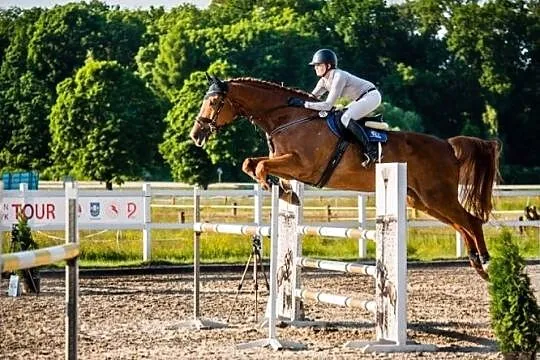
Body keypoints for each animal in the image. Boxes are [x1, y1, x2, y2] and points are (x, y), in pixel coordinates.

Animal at [191, 74, 502, 282]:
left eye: (214, 101)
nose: (197, 134)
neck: (288, 118)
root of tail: (448, 146)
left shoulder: (302, 166)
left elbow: (260, 167)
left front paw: (278, 188)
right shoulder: (288, 164)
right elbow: (251, 163)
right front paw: (284, 191)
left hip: (437, 195)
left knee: (471, 221)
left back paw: (487, 264)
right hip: (423, 201)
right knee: (461, 225)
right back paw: (476, 263)